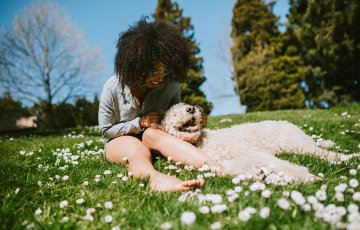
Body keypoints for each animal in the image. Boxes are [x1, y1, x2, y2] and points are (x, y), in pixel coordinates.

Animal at [155, 102, 354, 183]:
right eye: (174, 114)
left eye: (188, 106)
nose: (192, 109)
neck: (202, 141)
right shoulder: (225, 160)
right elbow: (234, 167)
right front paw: (256, 174)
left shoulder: (251, 152)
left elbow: (281, 164)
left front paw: (303, 176)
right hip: (298, 144)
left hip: (297, 144)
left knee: (323, 152)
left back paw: (345, 158)